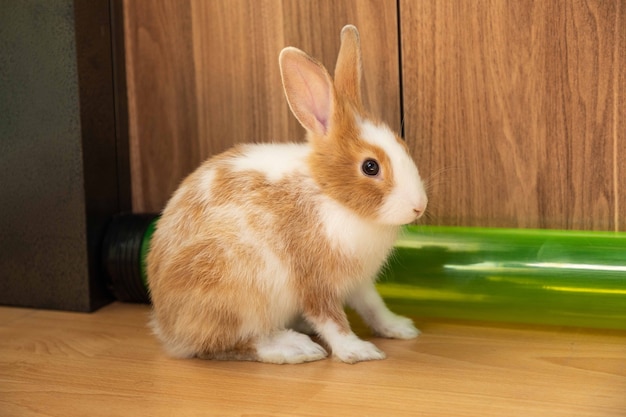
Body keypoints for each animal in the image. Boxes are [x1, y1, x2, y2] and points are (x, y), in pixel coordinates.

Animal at [146, 25, 426, 364]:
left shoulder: (359, 282)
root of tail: (167, 327)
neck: (330, 196)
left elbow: (373, 305)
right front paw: (358, 351)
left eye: (403, 145)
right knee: (227, 342)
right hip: (235, 292)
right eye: (370, 167)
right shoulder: (314, 281)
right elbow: (331, 320)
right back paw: (294, 347)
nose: (419, 206)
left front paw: (400, 328)